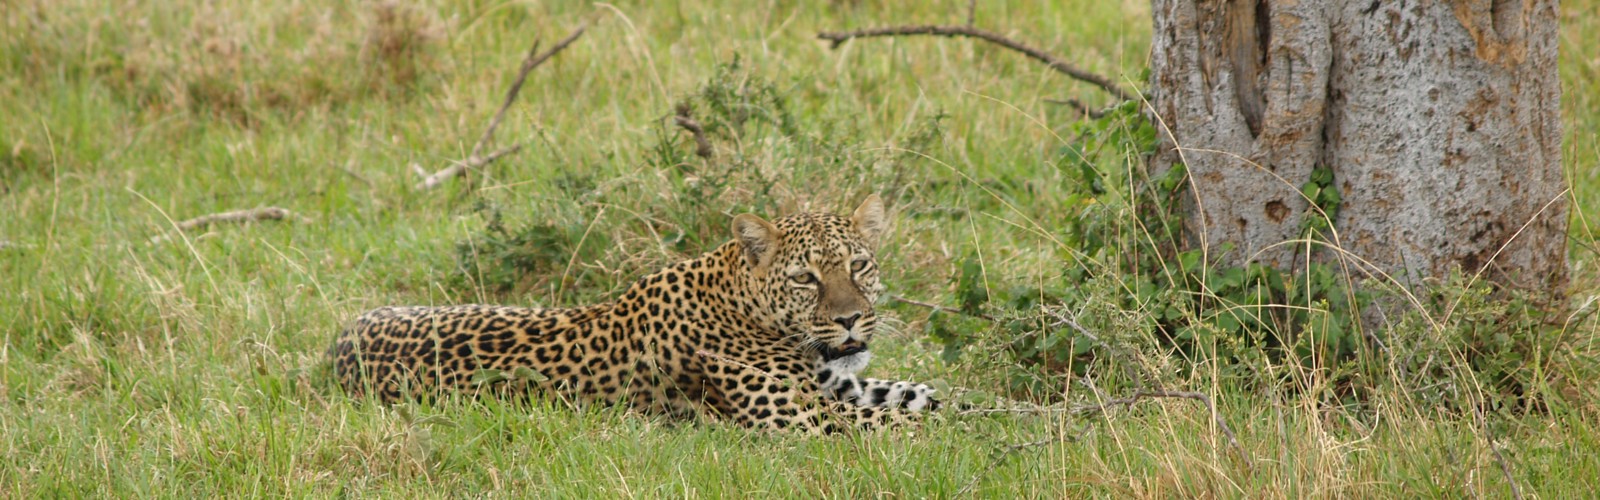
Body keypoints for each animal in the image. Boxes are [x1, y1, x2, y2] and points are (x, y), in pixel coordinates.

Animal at [329, 195, 940, 433]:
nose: (850, 320)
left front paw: (960, 407)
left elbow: (924, 395)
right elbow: (908, 423)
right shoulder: (802, 418)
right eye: (805, 279)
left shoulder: (838, 387)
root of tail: (339, 342)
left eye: (859, 266)